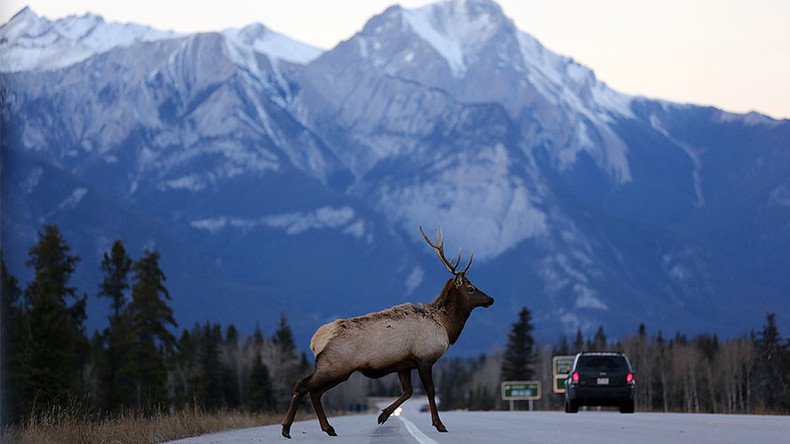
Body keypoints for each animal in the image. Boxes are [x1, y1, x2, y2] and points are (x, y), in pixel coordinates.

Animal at [280, 227, 496, 438]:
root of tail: (315, 341)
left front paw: (383, 415)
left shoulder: (404, 364)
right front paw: (439, 424)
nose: (491, 299)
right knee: (302, 385)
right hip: (335, 365)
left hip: (338, 370)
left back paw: (328, 428)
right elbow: (430, 390)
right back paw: (286, 428)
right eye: (471, 288)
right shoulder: (424, 357)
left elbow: (408, 391)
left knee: (315, 392)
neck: (446, 326)